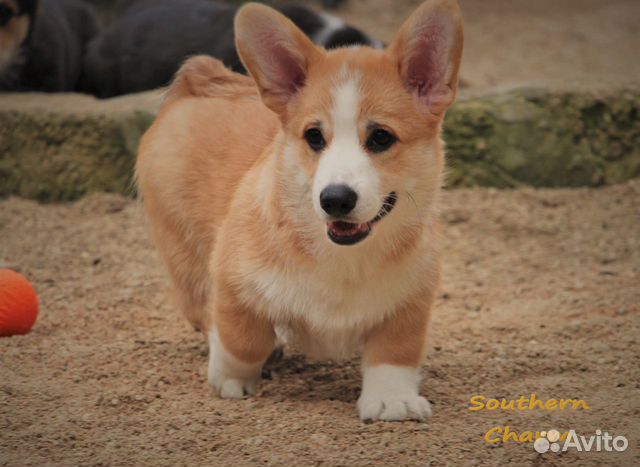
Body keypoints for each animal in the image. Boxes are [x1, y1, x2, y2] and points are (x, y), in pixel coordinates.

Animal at [138, 0, 462, 422]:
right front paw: (230, 379)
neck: (344, 257)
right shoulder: (230, 280)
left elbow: (395, 354)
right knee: (202, 310)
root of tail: (203, 77)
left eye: (381, 138)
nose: (335, 199)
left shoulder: (411, 301)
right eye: (314, 137)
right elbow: (241, 338)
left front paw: (393, 401)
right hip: (185, 256)